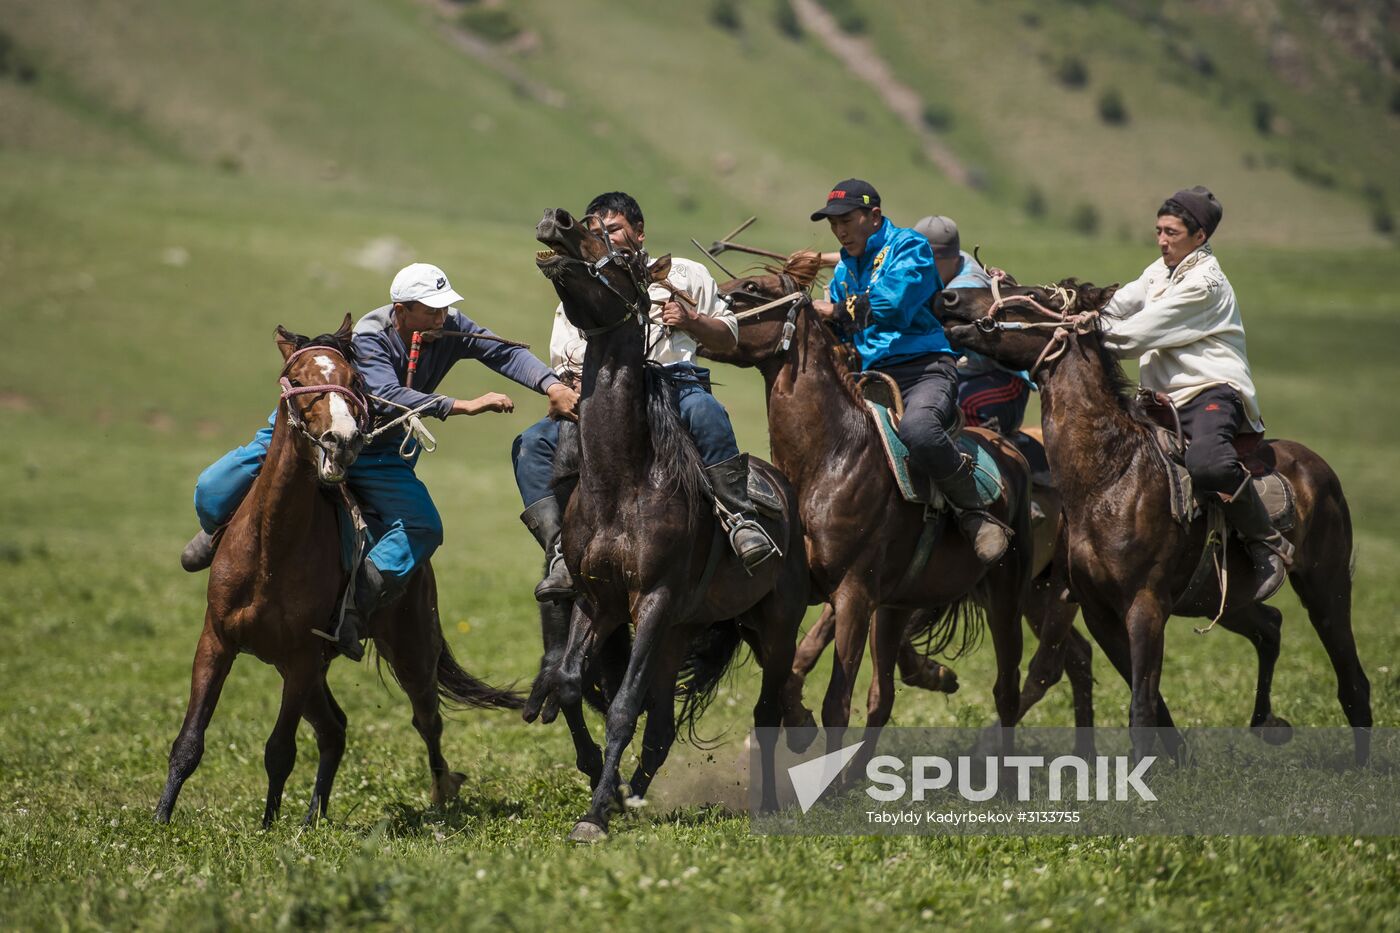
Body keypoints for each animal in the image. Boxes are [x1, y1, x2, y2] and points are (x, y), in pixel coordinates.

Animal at [153, 316, 523, 823]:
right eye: (298, 380)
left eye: (355, 381)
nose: (342, 442)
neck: (270, 549)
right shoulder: (217, 642)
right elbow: (189, 742)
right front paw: (160, 820)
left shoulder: (302, 657)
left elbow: (279, 750)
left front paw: (268, 827)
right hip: (302, 669)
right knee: (335, 728)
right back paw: (314, 818)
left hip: (409, 652)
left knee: (425, 718)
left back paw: (441, 793)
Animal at [532, 208, 817, 834]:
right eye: (585, 221)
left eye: (621, 252)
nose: (555, 221)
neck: (624, 482)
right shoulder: (599, 600)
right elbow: (570, 685)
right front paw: (604, 789)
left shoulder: (654, 599)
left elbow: (622, 707)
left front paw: (595, 817)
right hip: (681, 629)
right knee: (662, 726)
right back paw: (633, 794)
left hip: (773, 624)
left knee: (766, 710)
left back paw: (764, 806)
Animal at [935, 280, 1372, 762]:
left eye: (1031, 294)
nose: (950, 299)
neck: (1111, 476)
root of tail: (1317, 467)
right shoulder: (1099, 612)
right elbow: (1149, 697)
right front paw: (1178, 758)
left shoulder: (1144, 605)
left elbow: (1141, 707)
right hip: (1218, 598)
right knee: (1270, 627)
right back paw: (1266, 721)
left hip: (1326, 587)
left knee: (1352, 679)